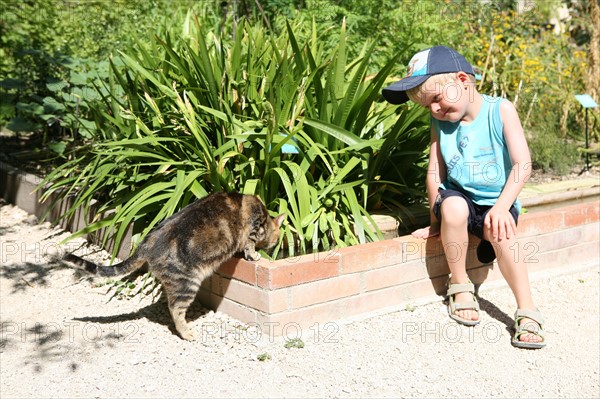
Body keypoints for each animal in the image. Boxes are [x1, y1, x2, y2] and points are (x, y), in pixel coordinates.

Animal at [64, 193, 284, 340]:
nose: (275, 244)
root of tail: (146, 243)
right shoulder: (255, 227)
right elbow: (250, 245)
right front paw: (254, 255)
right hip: (187, 283)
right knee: (175, 310)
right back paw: (188, 333)